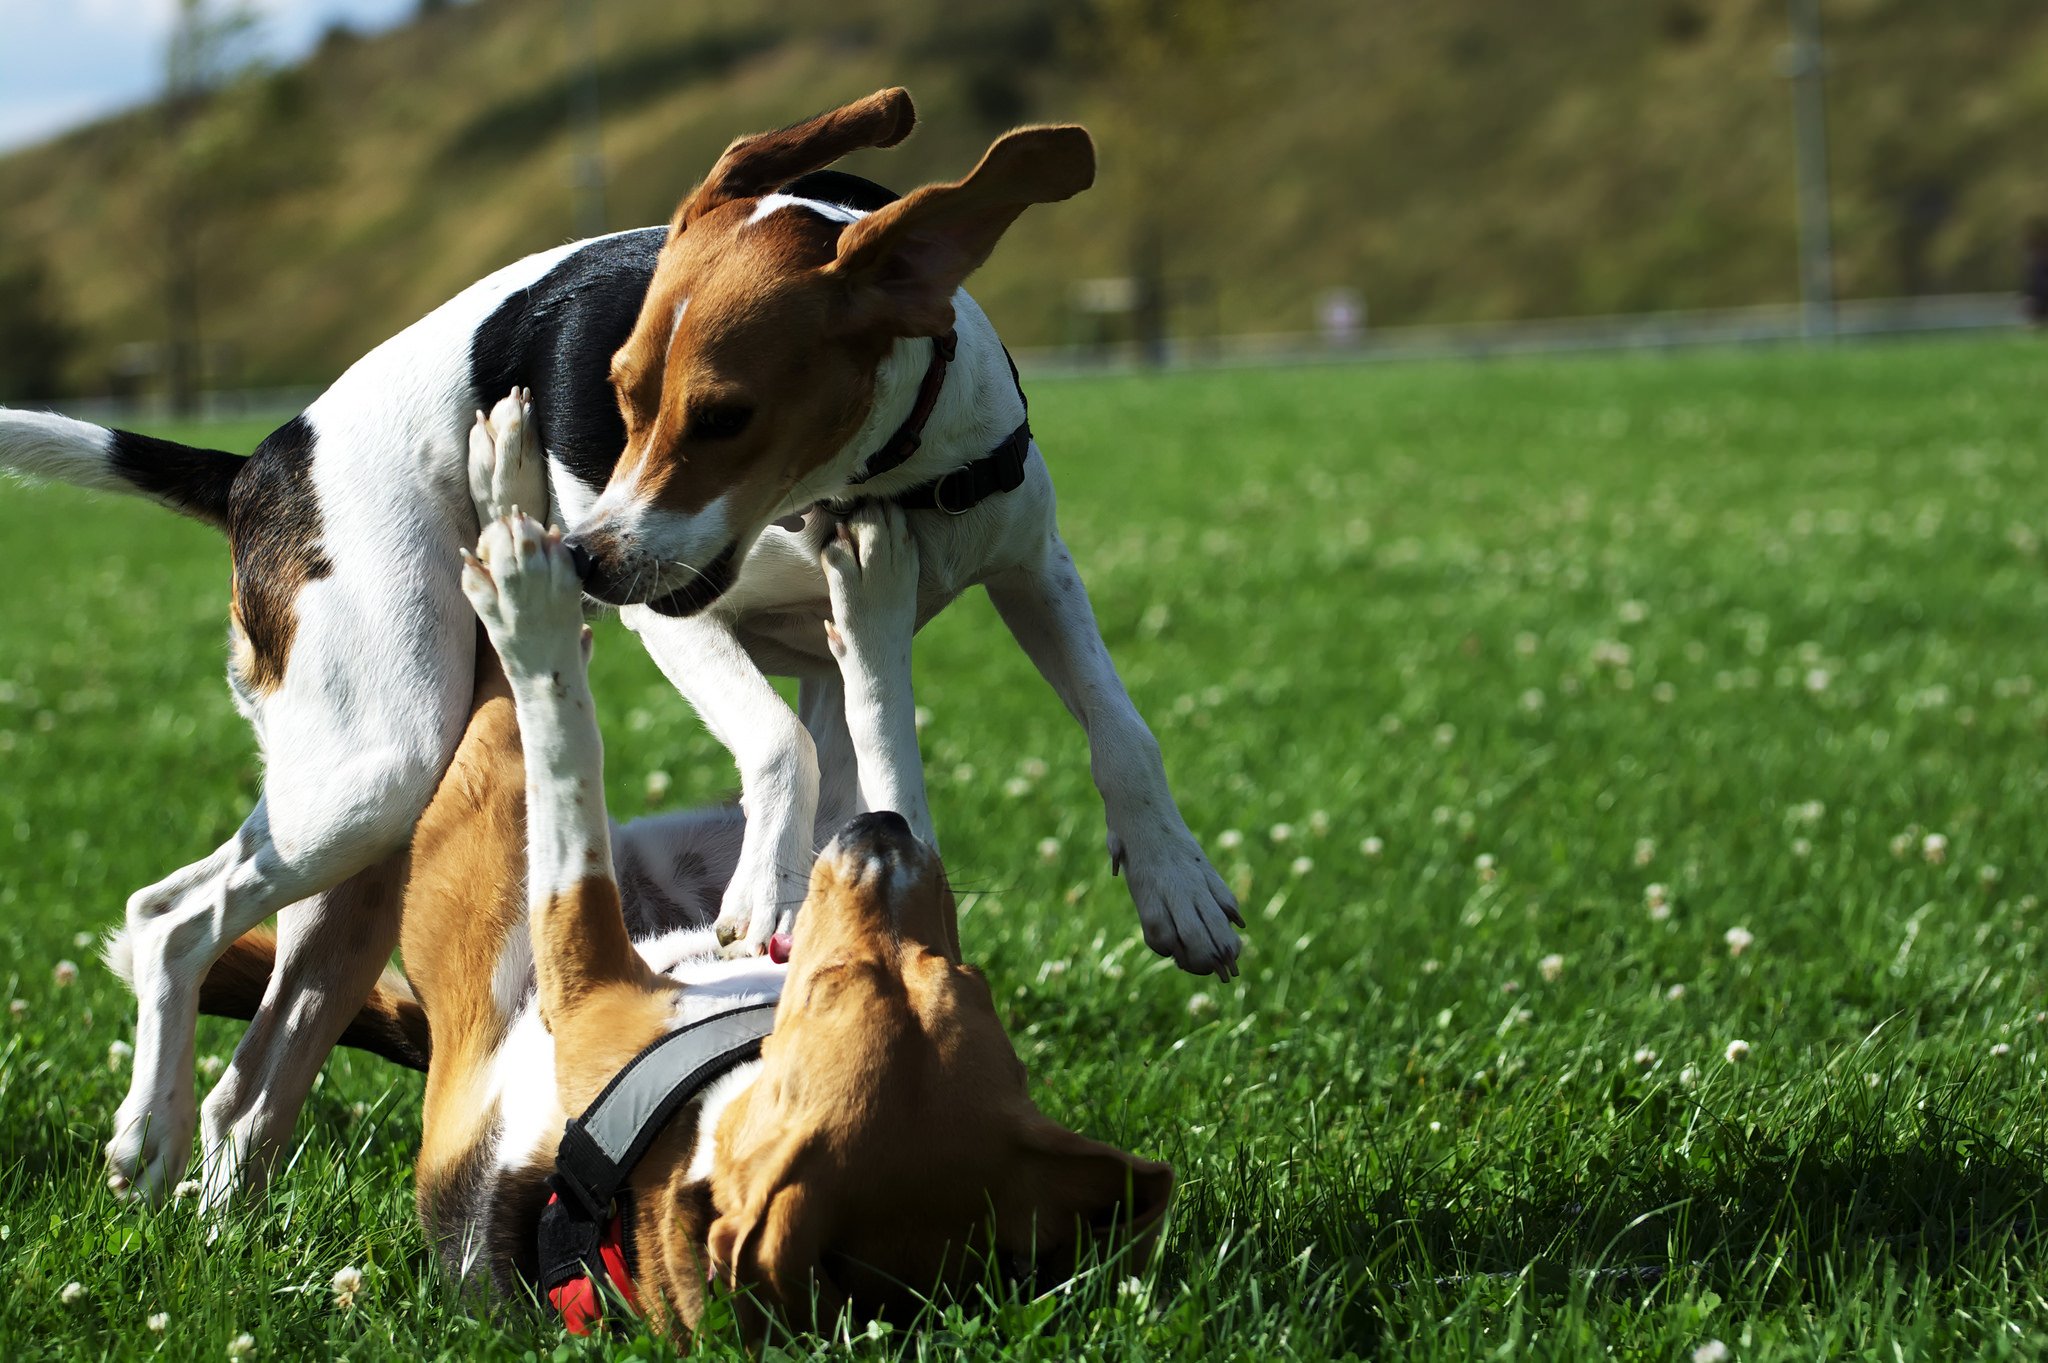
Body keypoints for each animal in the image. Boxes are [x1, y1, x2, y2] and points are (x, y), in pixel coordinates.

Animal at [0, 87, 1228, 1203]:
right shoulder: (675, 608)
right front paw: (768, 888)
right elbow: (783, 743)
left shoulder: (1033, 566)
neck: (894, 472)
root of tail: (257, 465)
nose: (581, 562)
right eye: (618, 396)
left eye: (726, 415)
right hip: (377, 766)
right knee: (167, 921)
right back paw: (145, 1133)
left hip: (350, 849)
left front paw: (1176, 880)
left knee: (250, 1076)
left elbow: (1120, 727)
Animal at [199, 462, 1187, 1334]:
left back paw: (520, 525)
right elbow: (883, 751)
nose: (880, 838)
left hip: (480, 784)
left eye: (829, 993)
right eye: (961, 978)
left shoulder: (585, 959)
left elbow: (567, 761)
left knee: (529, 705)